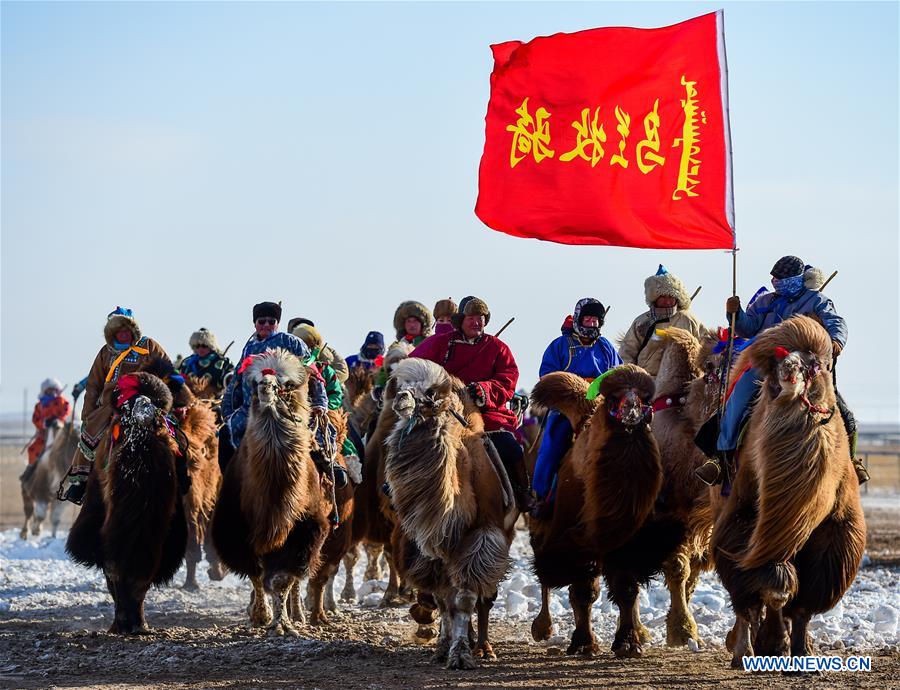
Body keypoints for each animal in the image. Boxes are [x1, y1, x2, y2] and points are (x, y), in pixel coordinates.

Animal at [211, 350, 330, 636]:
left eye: (286, 384)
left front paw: (283, 624)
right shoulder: (237, 530)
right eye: (253, 382)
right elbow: (255, 573)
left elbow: (282, 579)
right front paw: (261, 616)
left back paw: (298, 614)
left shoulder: (306, 530)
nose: (266, 386)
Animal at [384, 358, 516, 668]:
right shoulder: (431, 546)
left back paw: (484, 647)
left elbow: (466, 598)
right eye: (402, 385)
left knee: (485, 597)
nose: (401, 399)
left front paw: (461, 655)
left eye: (430, 392)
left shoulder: (481, 537)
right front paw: (445, 648)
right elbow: (445, 599)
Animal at [528, 362, 668, 652]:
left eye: (645, 399)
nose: (631, 410)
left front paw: (628, 643)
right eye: (614, 398)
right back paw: (543, 628)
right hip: (542, 524)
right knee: (546, 573)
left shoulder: (626, 543)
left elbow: (626, 588)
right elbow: (583, 591)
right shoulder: (574, 539)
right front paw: (584, 643)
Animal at [712, 316, 864, 668]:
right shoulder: (744, 514)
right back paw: (744, 648)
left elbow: (805, 600)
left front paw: (801, 654)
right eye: (770, 372)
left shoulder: (836, 532)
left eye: (820, 366)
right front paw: (761, 647)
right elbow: (766, 587)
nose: (791, 373)